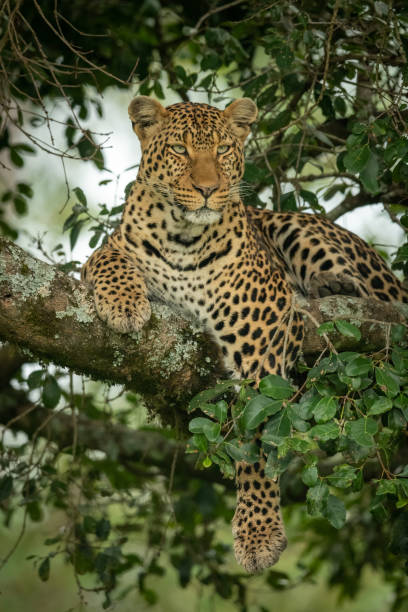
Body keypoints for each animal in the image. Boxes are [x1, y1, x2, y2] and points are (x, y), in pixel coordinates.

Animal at [81, 95, 406, 572]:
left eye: (222, 150)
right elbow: (108, 259)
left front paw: (258, 533)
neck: (183, 236)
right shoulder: (108, 250)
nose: (207, 189)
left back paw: (330, 287)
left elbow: (256, 440)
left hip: (301, 230)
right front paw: (124, 305)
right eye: (179, 149)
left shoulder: (262, 336)